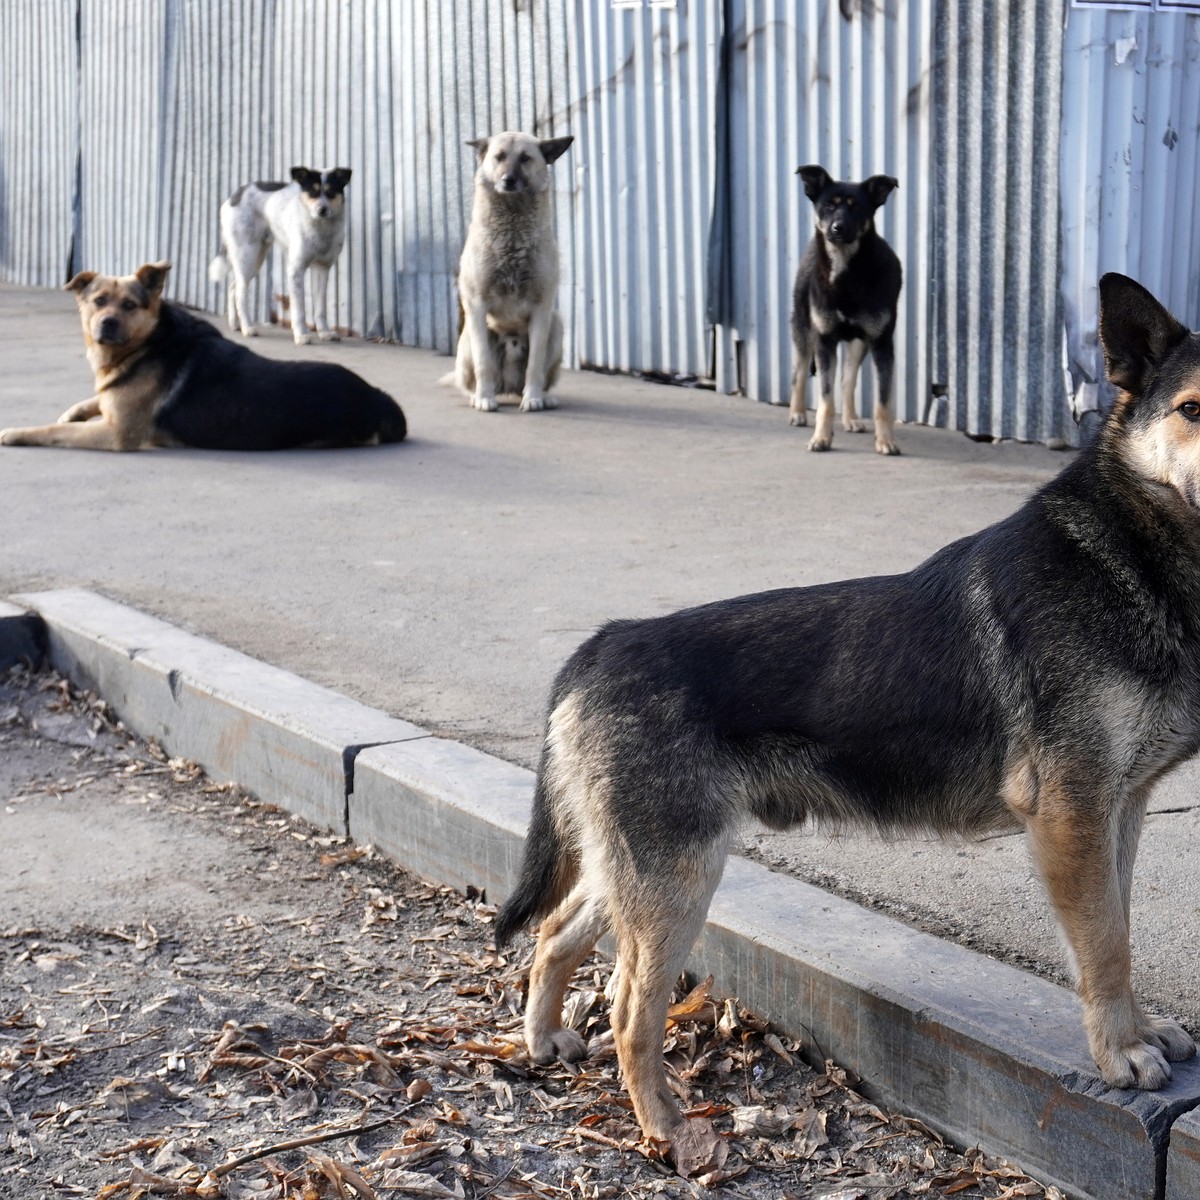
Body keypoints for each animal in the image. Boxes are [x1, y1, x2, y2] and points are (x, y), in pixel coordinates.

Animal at [0, 261, 405, 451]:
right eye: (98, 301)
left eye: (129, 305)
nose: (107, 323)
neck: (151, 341)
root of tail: (377, 398)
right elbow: (92, 401)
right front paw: (75, 409)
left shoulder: (117, 434)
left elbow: (53, 431)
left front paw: (16, 432)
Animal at [210, 164, 350, 345]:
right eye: (312, 191)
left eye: (331, 191)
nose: (322, 210)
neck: (320, 227)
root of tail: (233, 197)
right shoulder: (295, 270)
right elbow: (299, 310)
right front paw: (301, 335)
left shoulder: (322, 268)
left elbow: (320, 308)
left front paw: (324, 333)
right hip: (247, 255)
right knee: (240, 294)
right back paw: (248, 328)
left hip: (254, 259)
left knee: (233, 287)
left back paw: (235, 324)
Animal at [496, 274, 1200, 1152]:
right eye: (1193, 410)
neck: (1131, 550)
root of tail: (601, 644)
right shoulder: (1074, 818)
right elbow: (1104, 943)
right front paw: (1120, 1052)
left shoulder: (1118, 813)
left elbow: (1122, 929)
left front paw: (1138, 1029)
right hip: (677, 881)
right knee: (631, 1009)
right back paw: (669, 1130)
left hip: (635, 868)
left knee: (555, 932)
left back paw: (544, 1038)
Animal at [787, 164, 902, 453]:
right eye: (829, 205)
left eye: (856, 207)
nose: (837, 228)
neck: (846, 272)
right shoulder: (825, 340)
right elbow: (825, 399)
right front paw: (820, 438)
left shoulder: (882, 343)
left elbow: (883, 402)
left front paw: (886, 441)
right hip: (803, 327)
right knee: (799, 371)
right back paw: (797, 413)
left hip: (859, 343)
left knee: (848, 380)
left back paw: (850, 418)